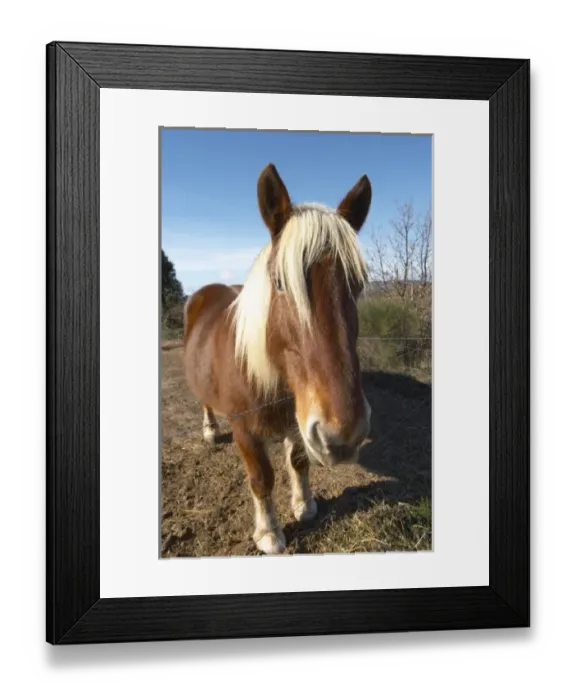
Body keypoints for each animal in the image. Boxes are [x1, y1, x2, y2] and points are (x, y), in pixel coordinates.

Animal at [182, 163, 373, 554]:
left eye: (358, 284)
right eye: (281, 283)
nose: (344, 435)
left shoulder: (300, 422)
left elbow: (298, 462)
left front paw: (305, 505)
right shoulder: (245, 431)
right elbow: (261, 478)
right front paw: (269, 532)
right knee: (204, 401)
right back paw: (209, 430)